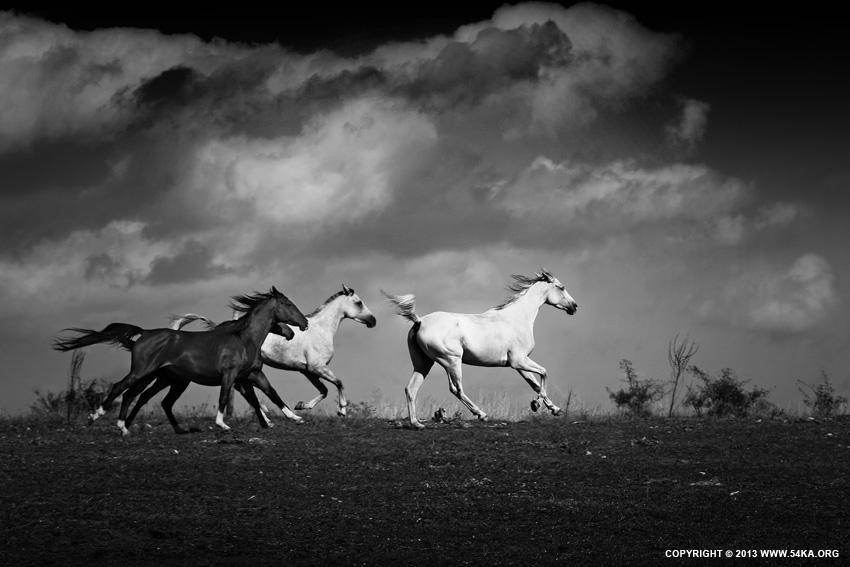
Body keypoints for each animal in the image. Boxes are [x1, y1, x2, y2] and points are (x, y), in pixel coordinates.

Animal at [52, 288, 308, 434]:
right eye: (288, 305)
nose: (301, 325)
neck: (244, 338)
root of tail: (143, 334)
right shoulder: (231, 375)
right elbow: (225, 397)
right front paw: (222, 424)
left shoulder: (251, 375)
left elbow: (271, 395)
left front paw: (295, 418)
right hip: (145, 372)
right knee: (121, 388)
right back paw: (98, 417)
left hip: (165, 379)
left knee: (141, 396)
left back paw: (127, 428)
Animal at [123, 286, 378, 428]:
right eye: (358, 302)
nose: (373, 320)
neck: (321, 330)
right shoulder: (316, 368)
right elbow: (338, 383)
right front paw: (342, 410)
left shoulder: (307, 370)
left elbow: (324, 390)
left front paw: (301, 407)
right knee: (241, 390)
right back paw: (265, 414)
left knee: (243, 390)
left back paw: (266, 415)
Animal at [382, 270, 576, 430]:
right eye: (561, 287)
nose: (574, 307)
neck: (517, 318)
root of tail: (419, 320)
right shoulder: (518, 361)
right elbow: (544, 373)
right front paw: (536, 404)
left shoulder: (520, 364)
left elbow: (535, 384)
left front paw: (555, 409)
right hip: (451, 360)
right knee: (456, 389)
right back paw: (481, 414)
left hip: (424, 363)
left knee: (411, 389)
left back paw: (416, 424)